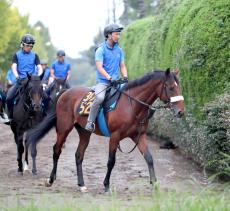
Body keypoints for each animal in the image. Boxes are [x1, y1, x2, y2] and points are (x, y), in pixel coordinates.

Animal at [27, 68, 185, 192]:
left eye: (179, 87)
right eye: (171, 87)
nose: (180, 112)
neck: (132, 105)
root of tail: (65, 93)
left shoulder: (138, 136)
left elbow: (149, 158)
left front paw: (154, 183)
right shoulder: (115, 136)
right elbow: (111, 161)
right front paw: (106, 185)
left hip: (84, 132)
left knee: (79, 155)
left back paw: (81, 184)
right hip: (64, 128)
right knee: (57, 150)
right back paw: (50, 180)